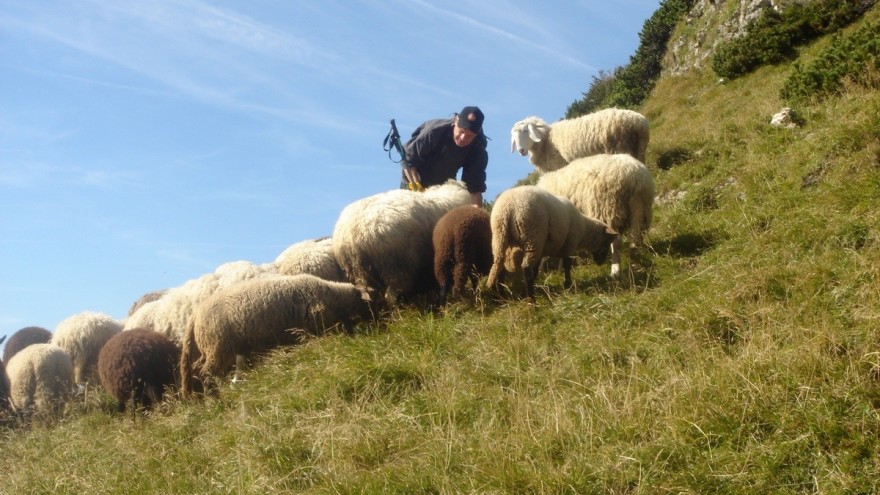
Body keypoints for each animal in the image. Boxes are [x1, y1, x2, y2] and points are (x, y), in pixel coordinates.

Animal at [180, 274, 372, 398]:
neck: (332, 296)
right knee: (206, 373)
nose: (373, 319)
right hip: (218, 347)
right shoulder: (309, 330)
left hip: (209, 348)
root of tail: (194, 316)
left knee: (197, 369)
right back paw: (214, 399)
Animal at [484, 186, 616, 300]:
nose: (601, 263)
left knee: (499, 266)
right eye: (605, 244)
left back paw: (503, 296)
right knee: (526, 268)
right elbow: (567, 265)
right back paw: (531, 299)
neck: (583, 230)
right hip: (532, 236)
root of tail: (508, 208)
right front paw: (567, 284)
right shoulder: (568, 245)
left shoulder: (542, 251)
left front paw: (523, 292)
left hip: (500, 238)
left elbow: (536, 271)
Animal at [512, 107, 648, 173]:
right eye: (513, 137)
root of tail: (638, 123)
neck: (546, 141)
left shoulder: (559, 166)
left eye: (525, 131)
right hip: (639, 149)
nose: (521, 150)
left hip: (620, 147)